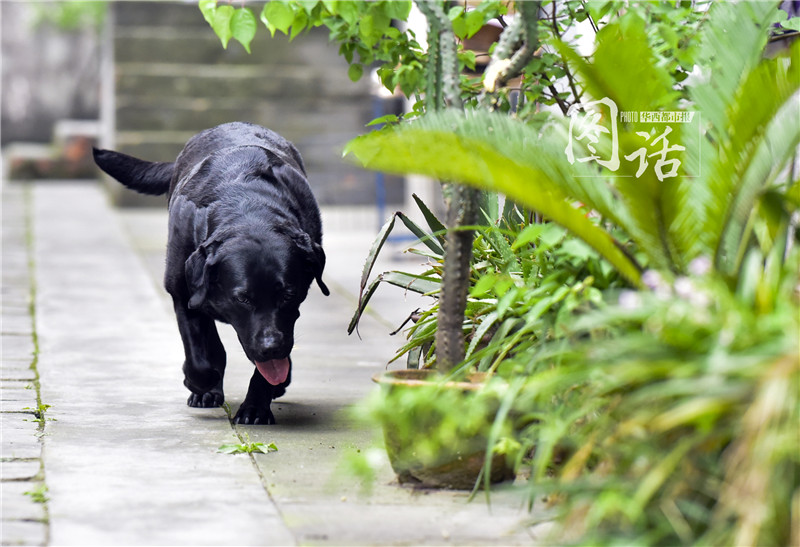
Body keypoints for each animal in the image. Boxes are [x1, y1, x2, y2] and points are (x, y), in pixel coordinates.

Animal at [94, 123, 328, 424]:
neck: (248, 209)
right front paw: (200, 383)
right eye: (243, 299)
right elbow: (200, 357)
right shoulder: (182, 294)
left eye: (288, 295)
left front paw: (256, 406)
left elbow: (266, 364)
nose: (271, 346)